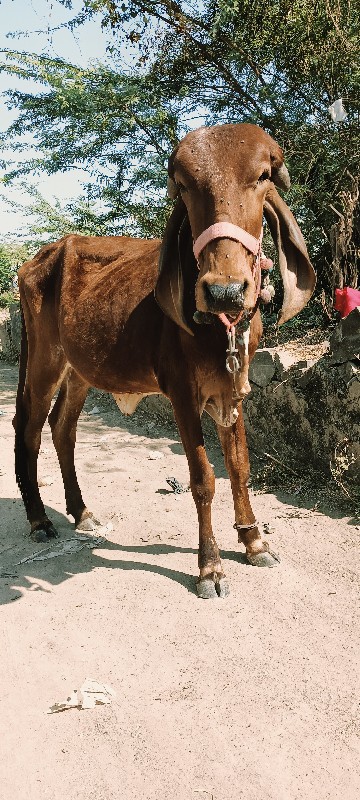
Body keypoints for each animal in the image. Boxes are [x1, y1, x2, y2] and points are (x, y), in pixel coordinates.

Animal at [13, 125, 316, 596]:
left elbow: (239, 467)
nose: (224, 290)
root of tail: (36, 259)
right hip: (45, 362)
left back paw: (81, 511)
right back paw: (40, 518)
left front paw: (254, 542)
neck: (220, 329)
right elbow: (204, 478)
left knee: (62, 429)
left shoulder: (233, 392)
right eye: (186, 186)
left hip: (80, 370)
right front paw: (210, 567)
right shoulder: (182, 394)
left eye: (263, 176)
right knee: (28, 428)